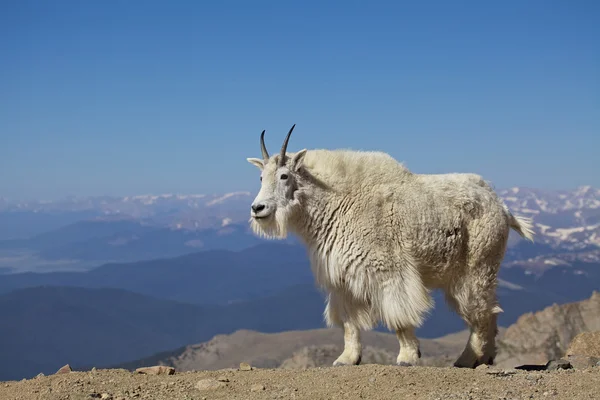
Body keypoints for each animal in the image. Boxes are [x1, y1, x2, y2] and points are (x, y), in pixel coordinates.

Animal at [244, 125, 536, 368]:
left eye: (284, 176)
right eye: (260, 177)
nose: (258, 208)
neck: (337, 203)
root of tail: (503, 207)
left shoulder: (389, 270)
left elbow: (399, 314)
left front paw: (407, 357)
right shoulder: (342, 279)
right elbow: (349, 321)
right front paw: (346, 359)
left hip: (477, 266)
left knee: (481, 312)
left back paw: (467, 359)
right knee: (489, 311)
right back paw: (484, 357)